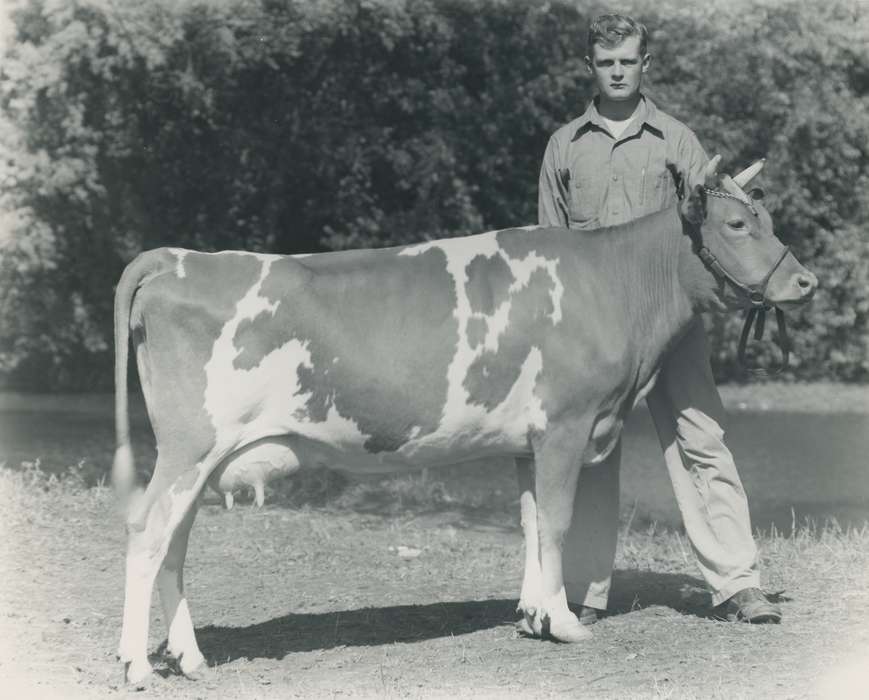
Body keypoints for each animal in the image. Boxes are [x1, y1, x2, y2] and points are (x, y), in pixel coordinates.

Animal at [112, 157, 816, 686]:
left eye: (767, 218)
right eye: (736, 223)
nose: (806, 281)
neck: (613, 283)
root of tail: (180, 257)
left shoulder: (527, 440)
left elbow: (530, 521)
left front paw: (532, 614)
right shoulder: (565, 425)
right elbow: (557, 521)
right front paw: (564, 622)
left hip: (199, 459)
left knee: (175, 542)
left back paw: (190, 658)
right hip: (189, 447)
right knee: (147, 534)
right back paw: (137, 666)